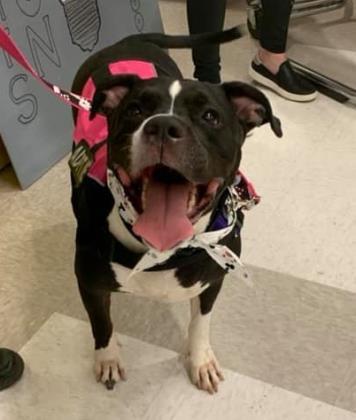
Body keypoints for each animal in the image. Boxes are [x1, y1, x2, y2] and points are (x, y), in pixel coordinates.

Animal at [69, 27, 280, 396]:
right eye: (135, 110)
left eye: (210, 116)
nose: (164, 126)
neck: (162, 249)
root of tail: (128, 40)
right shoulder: (89, 283)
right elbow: (102, 324)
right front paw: (108, 359)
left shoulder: (213, 278)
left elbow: (200, 323)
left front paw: (200, 361)